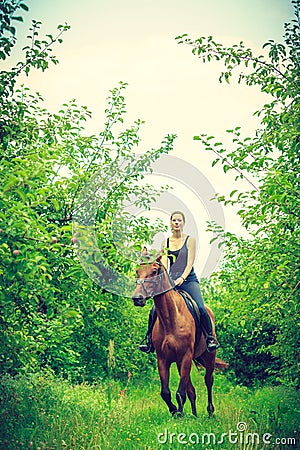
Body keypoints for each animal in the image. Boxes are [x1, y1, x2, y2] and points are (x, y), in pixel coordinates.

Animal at [131, 255, 225, 416]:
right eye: (137, 270)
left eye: (154, 271)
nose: (138, 298)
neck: (170, 318)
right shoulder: (163, 359)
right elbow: (166, 393)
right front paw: (175, 411)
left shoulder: (186, 356)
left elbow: (180, 393)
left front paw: (179, 413)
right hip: (182, 362)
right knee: (191, 390)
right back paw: (194, 415)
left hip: (208, 356)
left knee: (208, 380)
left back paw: (210, 411)